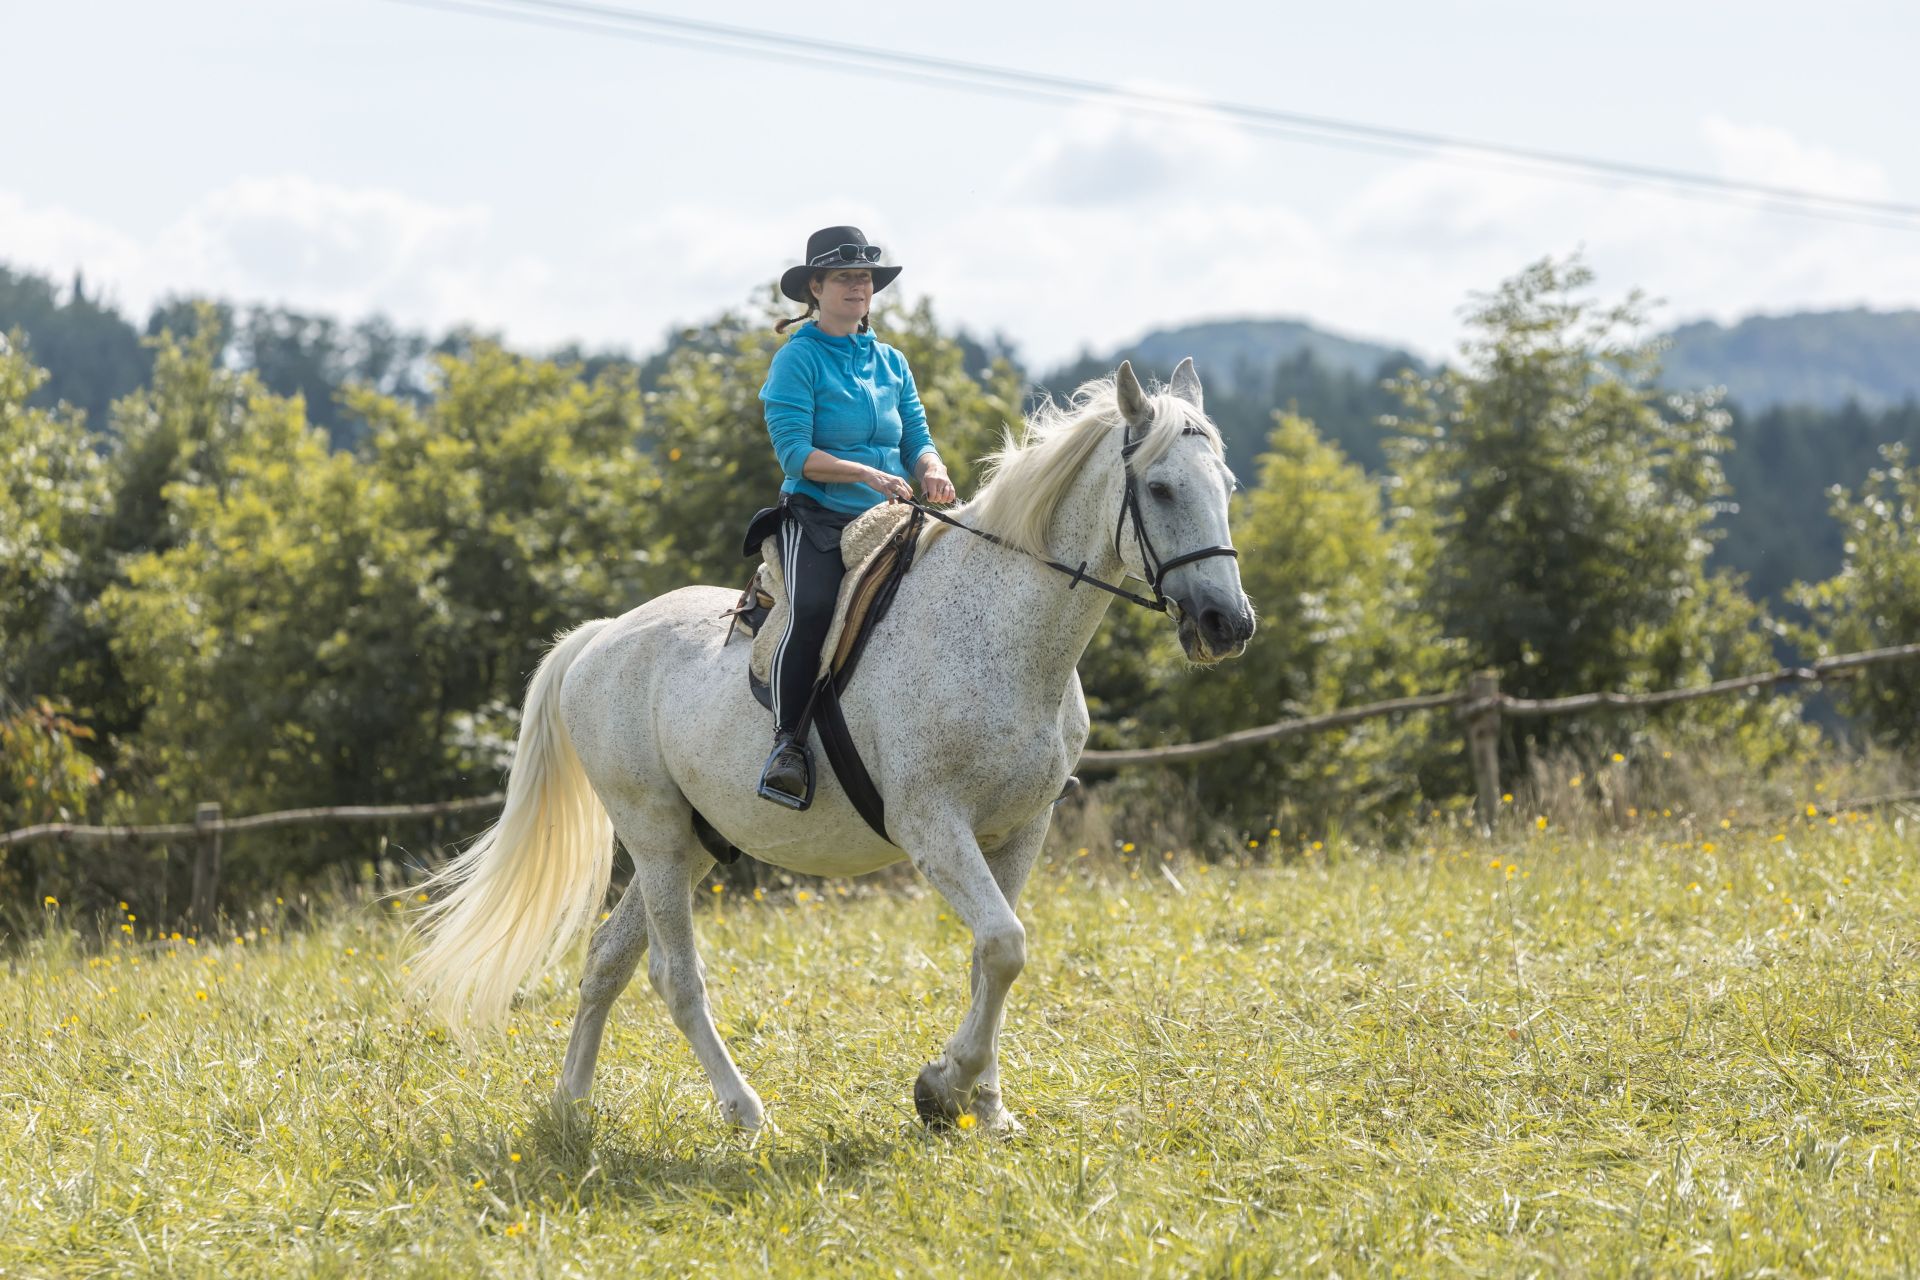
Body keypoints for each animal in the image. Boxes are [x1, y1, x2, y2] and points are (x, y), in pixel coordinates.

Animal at [410, 358, 1251, 1128]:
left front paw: (984, 1106)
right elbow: (1005, 946)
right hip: (651, 831)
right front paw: (942, 1087)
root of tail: (599, 638)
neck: (1001, 631)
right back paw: (744, 1111)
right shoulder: (932, 826)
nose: (1228, 625)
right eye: (1163, 489)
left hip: (687, 842)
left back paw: (572, 1106)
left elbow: (992, 959)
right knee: (674, 976)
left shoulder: (1021, 829)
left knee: (608, 961)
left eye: (1227, 486)